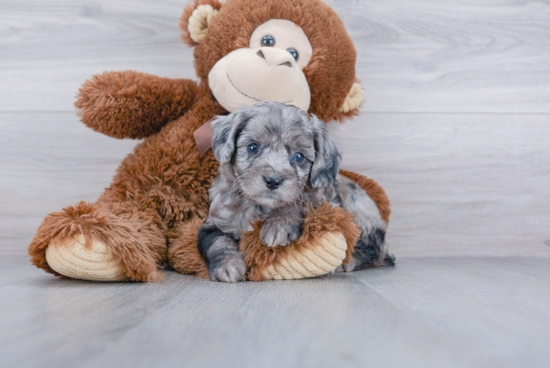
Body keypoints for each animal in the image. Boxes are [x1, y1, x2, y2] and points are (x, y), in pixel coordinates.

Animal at [198, 100, 396, 282]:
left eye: (298, 157)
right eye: (253, 147)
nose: (273, 181)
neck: (260, 207)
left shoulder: (321, 202)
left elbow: (298, 203)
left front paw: (278, 224)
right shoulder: (213, 222)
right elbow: (217, 242)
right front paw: (228, 265)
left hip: (357, 206)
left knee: (374, 249)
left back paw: (348, 262)